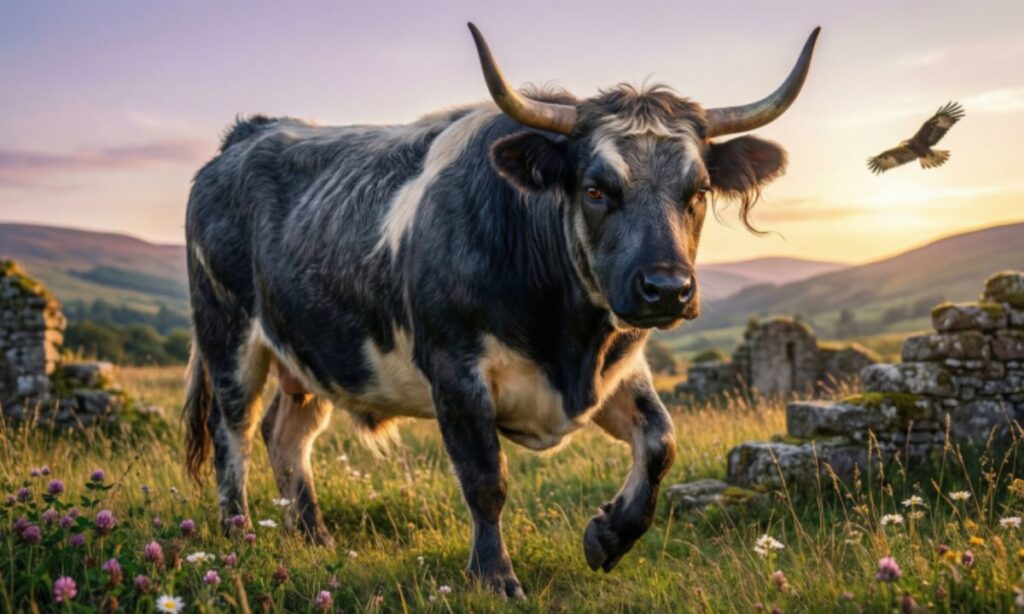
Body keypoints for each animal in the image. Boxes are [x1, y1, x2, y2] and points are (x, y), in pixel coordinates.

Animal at [183, 23, 820, 597]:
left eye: (699, 190)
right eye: (595, 189)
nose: (666, 289)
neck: (569, 342)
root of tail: (248, 135)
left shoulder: (616, 367)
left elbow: (661, 441)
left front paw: (609, 535)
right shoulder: (455, 372)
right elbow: (486, 480)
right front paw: (494, 577)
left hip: (311, 357)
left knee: (287, 436)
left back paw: (314, 538)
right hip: (228, 335)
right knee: (233, 432)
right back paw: (239, 537)